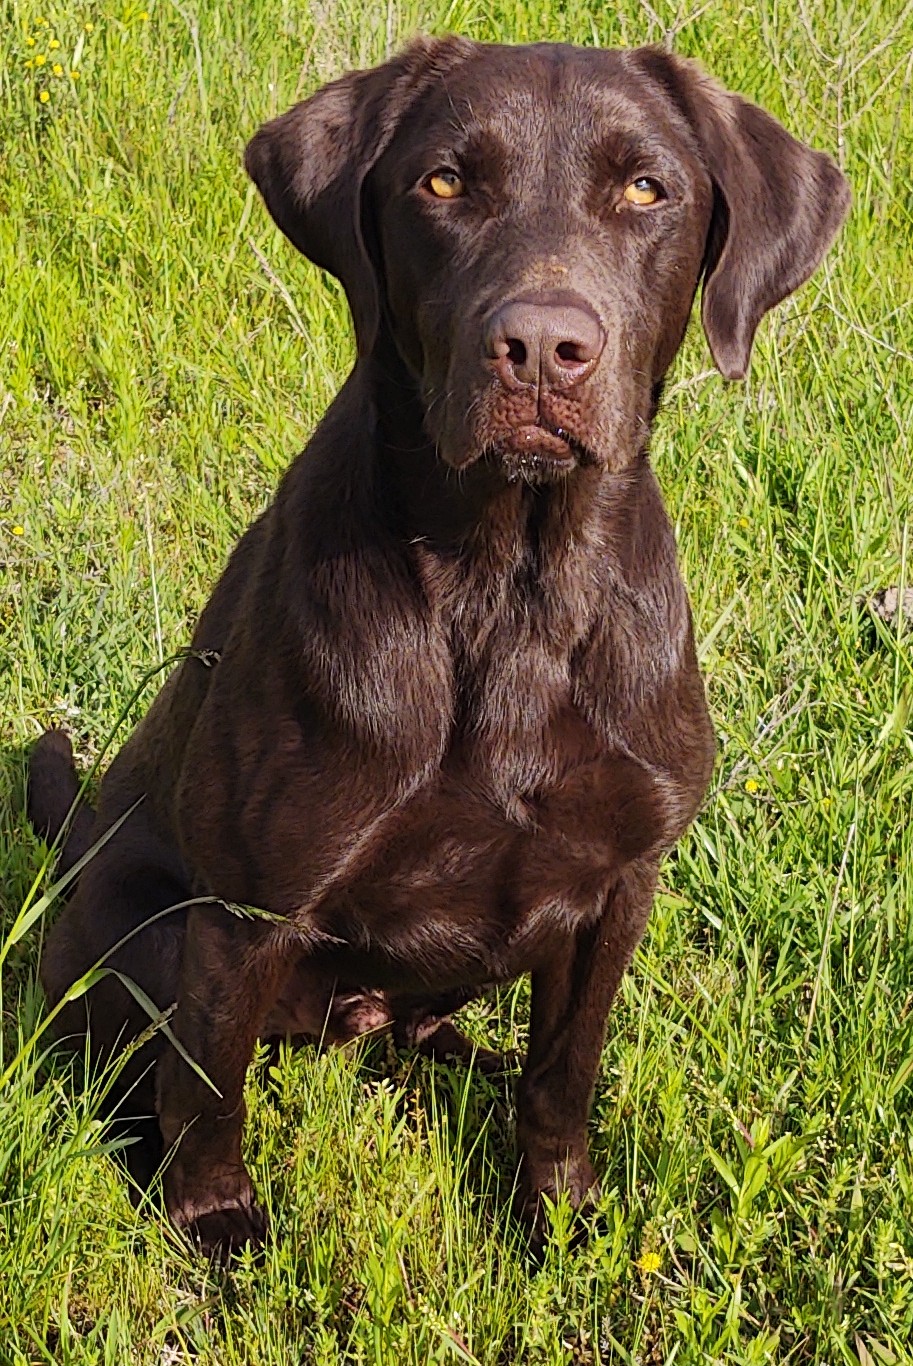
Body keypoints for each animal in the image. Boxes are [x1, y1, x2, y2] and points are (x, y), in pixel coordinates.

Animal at [26, 37, 847, 1256]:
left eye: (646, 190)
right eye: (445, 182)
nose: (544, 349)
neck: (511, 590)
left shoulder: (616, 884)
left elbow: (564, 1074)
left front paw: (559, 1211)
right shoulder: (244, 910)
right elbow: (208, 1091)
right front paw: (213, 1224)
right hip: (140, 933)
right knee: (137, 1069)